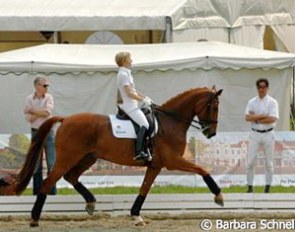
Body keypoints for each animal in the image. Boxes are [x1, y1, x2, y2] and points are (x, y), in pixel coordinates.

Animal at [1, 86, 223, 226]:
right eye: (213, 106)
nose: (211, 133)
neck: (170, 122)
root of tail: (65, 119)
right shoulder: (173, 161)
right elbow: (203, 170)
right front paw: (218, 196)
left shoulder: (155, 166)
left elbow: (144, 189)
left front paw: (136, 216)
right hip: (68, 158)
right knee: (49, 182)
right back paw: (34, 219)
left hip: (88, 157)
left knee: (71, 177)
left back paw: (90, 202)